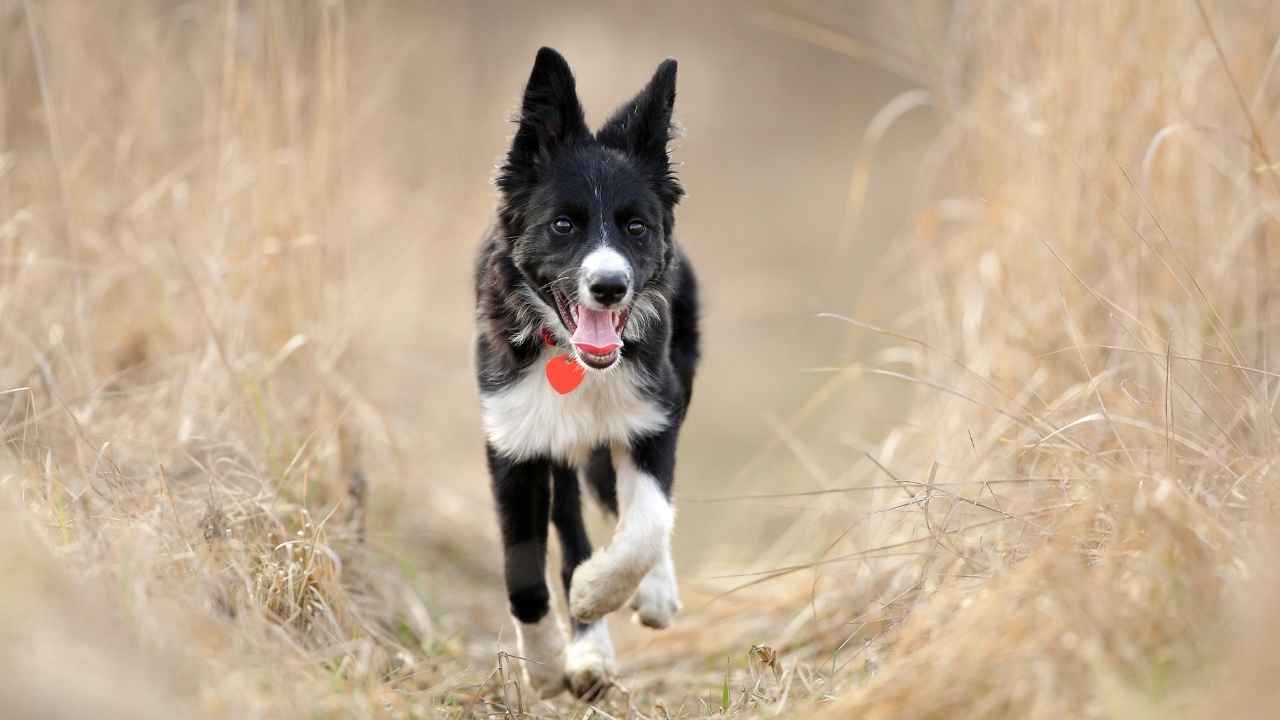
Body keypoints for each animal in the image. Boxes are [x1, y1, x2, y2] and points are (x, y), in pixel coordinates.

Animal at [473, 47, 701, 696]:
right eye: (563, 225)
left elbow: (648, 520)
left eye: (636, 226)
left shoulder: (654, 413)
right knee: (571, 523)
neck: (576, 364)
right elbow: (524, 568)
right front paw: (548, 663)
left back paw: (641, 597)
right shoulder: (514, 440)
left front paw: (601, 591)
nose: (609, 286)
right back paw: (587, 652)